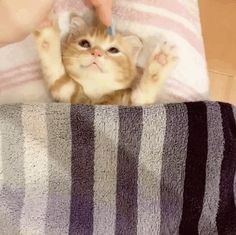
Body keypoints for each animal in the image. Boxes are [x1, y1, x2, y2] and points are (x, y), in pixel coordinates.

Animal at [33, 14, 177, 106]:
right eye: (84, 43)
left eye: (113, 50)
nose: (97, 52)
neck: (95, 93)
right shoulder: (65, 93)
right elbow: (55, 72)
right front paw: (46, 32)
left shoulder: (134, 103)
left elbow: (143, 97)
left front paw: (161, 61)